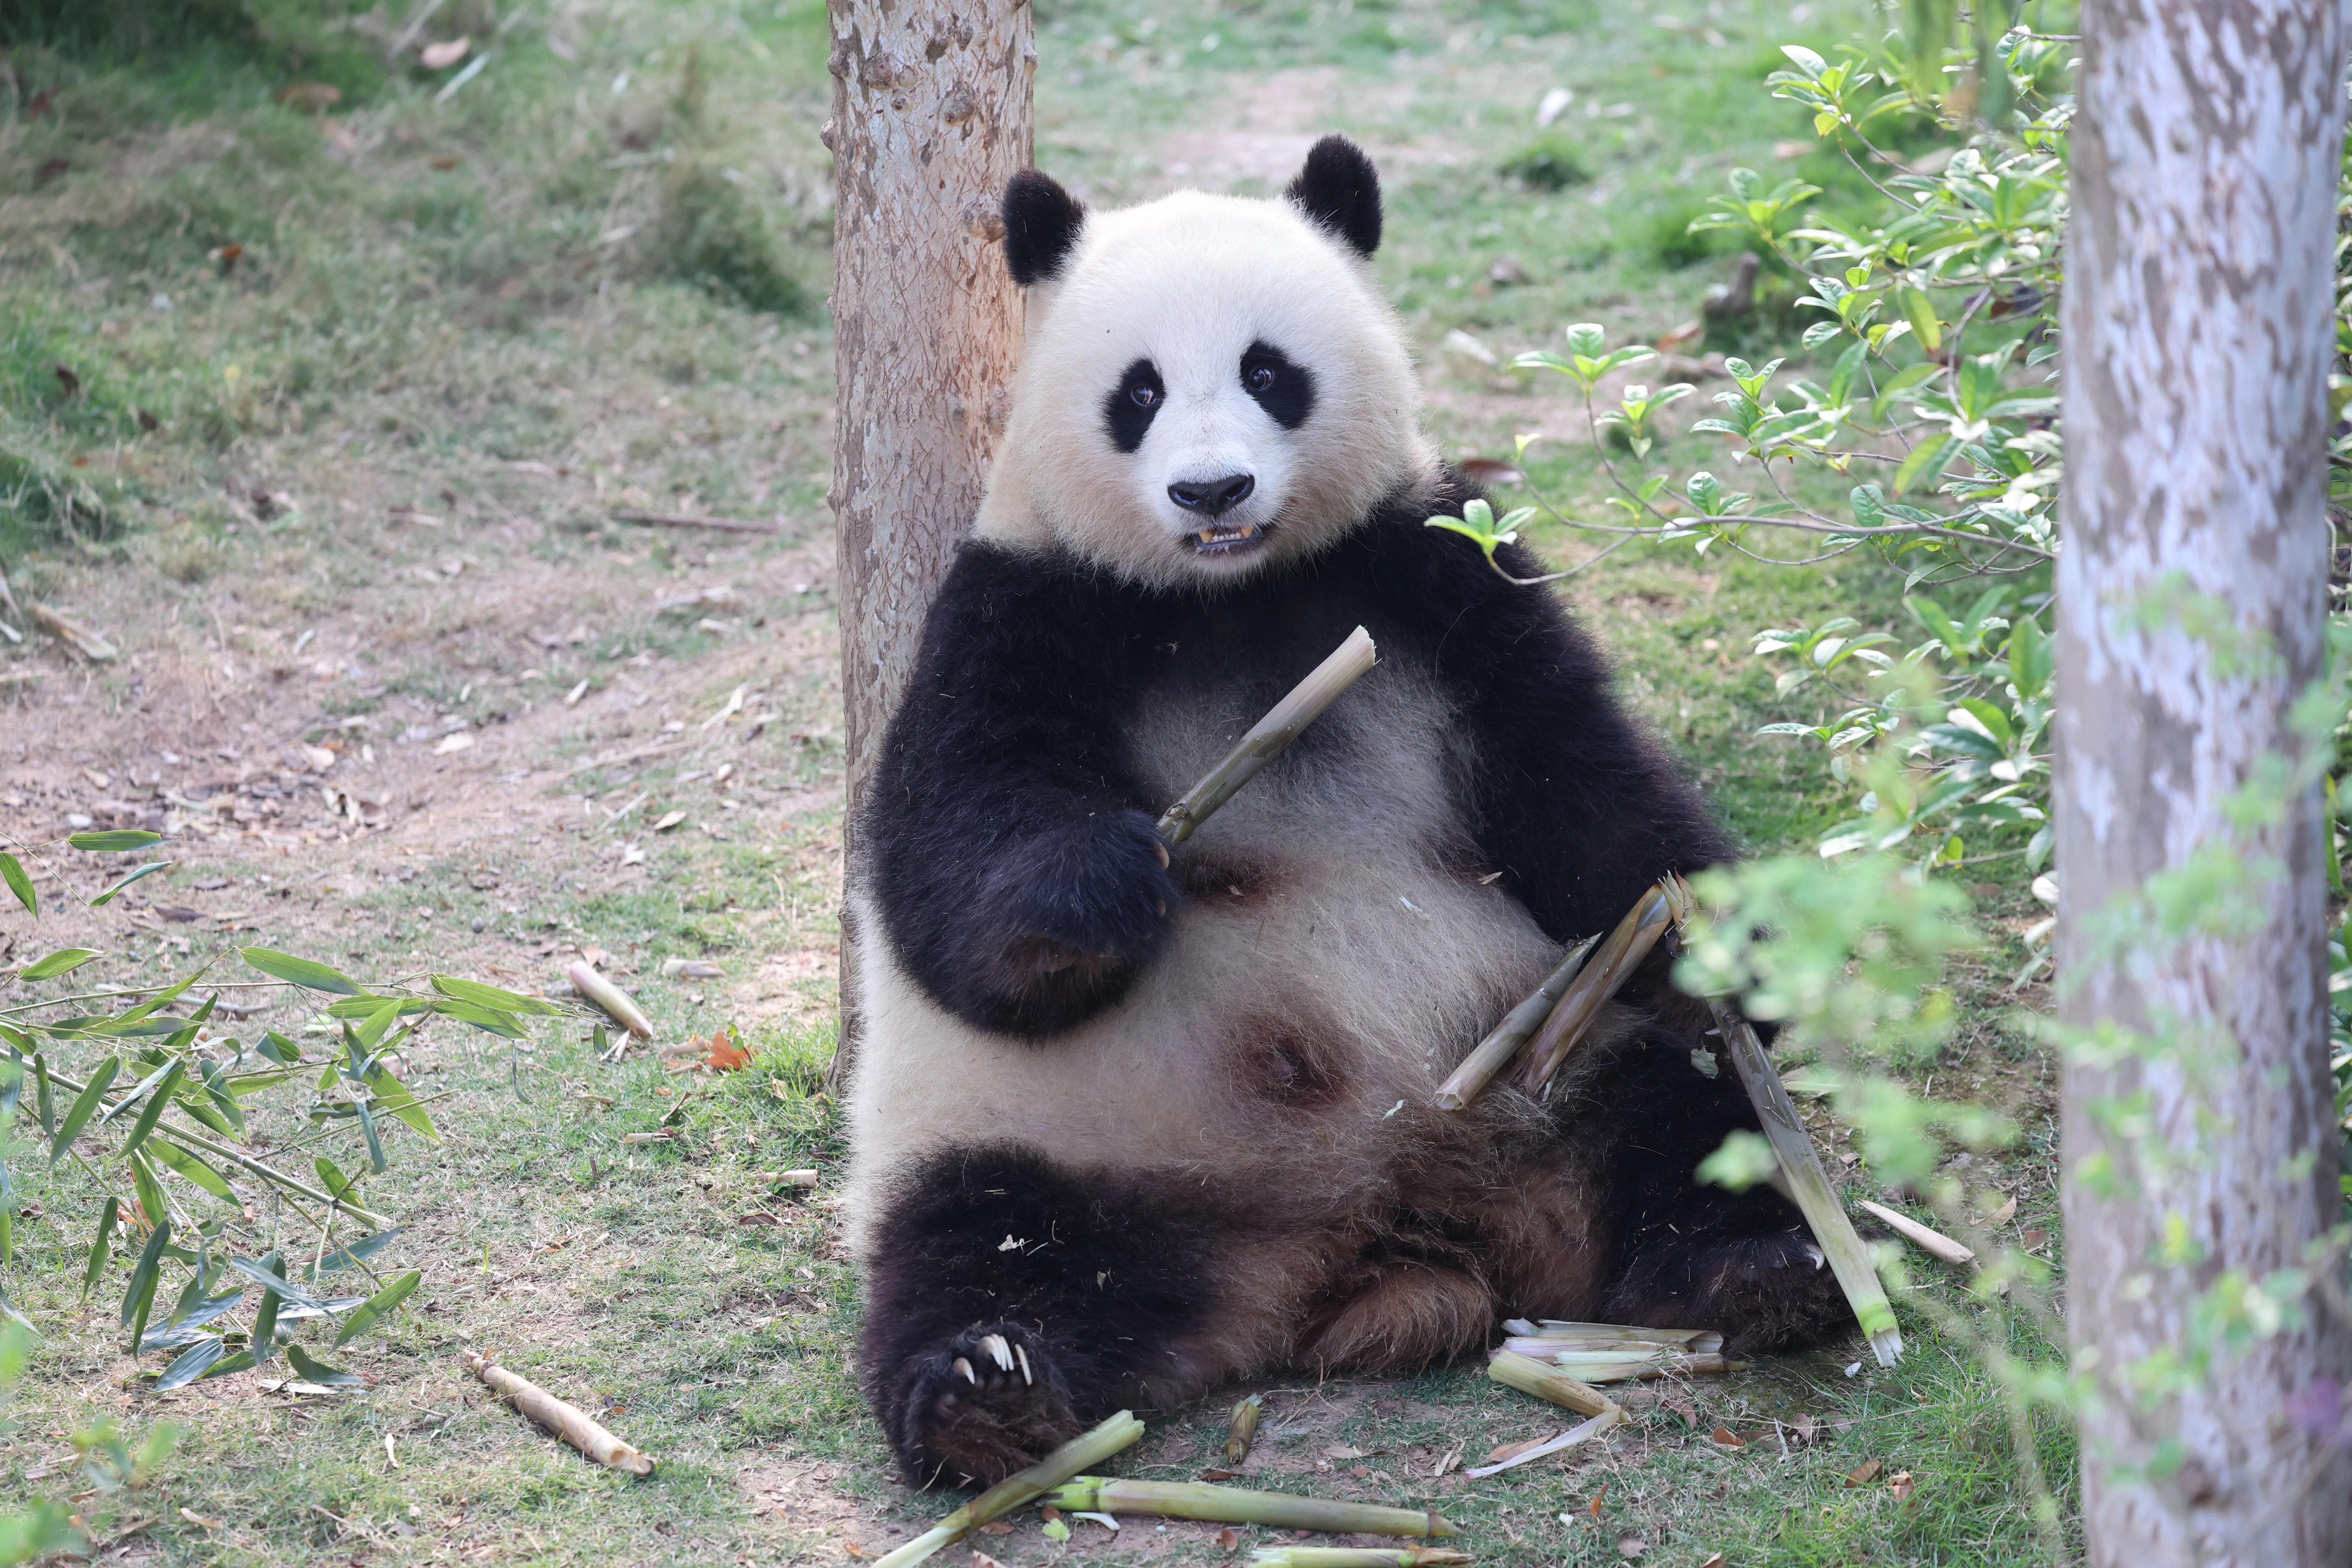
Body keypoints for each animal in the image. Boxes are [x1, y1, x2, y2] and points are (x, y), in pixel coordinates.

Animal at [845, 136, 1850, 1489]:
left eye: (1268, 371)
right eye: (1137, 392)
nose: (1211, 489)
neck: (1237, 595)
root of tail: (1377, 1233)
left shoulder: (1434, 575)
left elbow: (1581, 784)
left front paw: (1724, 943)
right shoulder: (1023, 607)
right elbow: (947, 873)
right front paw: (1103, 885)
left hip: (1562, 1057)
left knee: (1688, 1122)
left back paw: (1759, 1266)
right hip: (1049, 1135)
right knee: (981, 1242)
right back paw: (983, 1391)